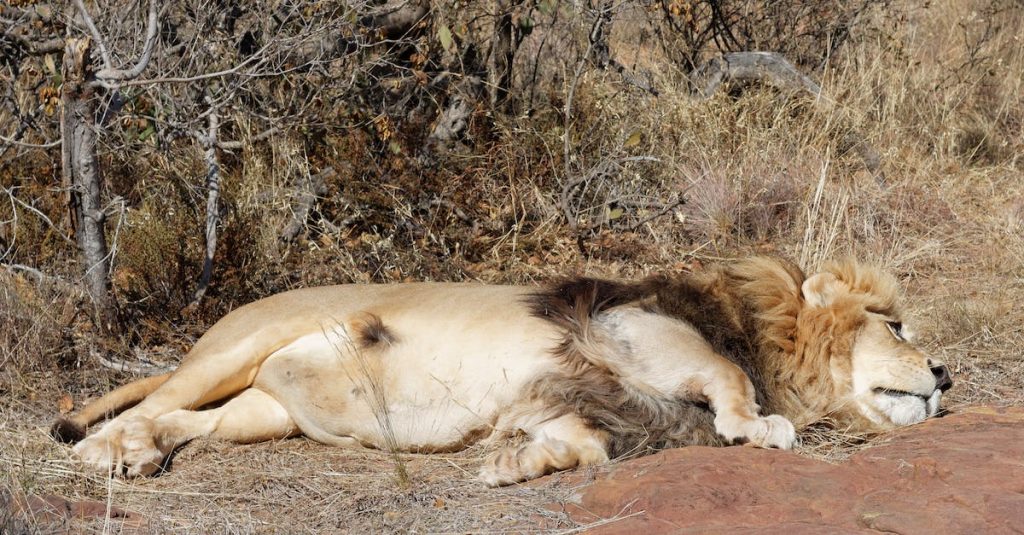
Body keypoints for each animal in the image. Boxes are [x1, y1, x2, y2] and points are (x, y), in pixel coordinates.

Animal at [54, 256, 950, 485]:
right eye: (897, 324)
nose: (945, 373)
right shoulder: (633, 331)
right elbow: (731, 383)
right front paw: (763, 425)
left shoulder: (581, 401)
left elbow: (583, 444)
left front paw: (515, 463)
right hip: (239, 347)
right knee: (147, 404)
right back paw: (102, 452)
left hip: (261, 410)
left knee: (183, 423)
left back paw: (138, 454)